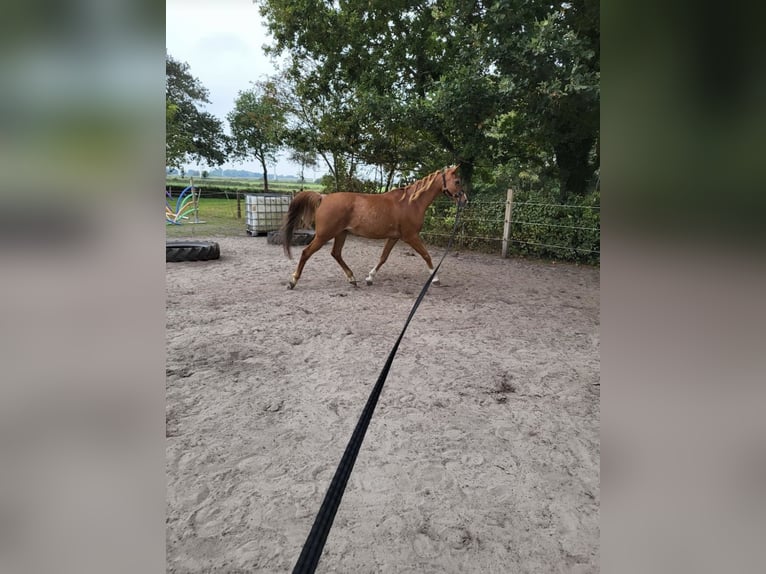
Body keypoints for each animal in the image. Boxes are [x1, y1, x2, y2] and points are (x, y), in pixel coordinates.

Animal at [280, 166, 464, 292]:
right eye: (457, 181)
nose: (465, 200)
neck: (411, 202)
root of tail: (323, 197)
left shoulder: (394, 237)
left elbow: (383, 258)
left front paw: (369, 278)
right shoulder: (411, 236)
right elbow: (426, 255)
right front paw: (435, 279)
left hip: (341, 234)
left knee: (336, 253)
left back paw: (352, 279)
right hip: (323, 235)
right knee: (306, 253)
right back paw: (293, 282)